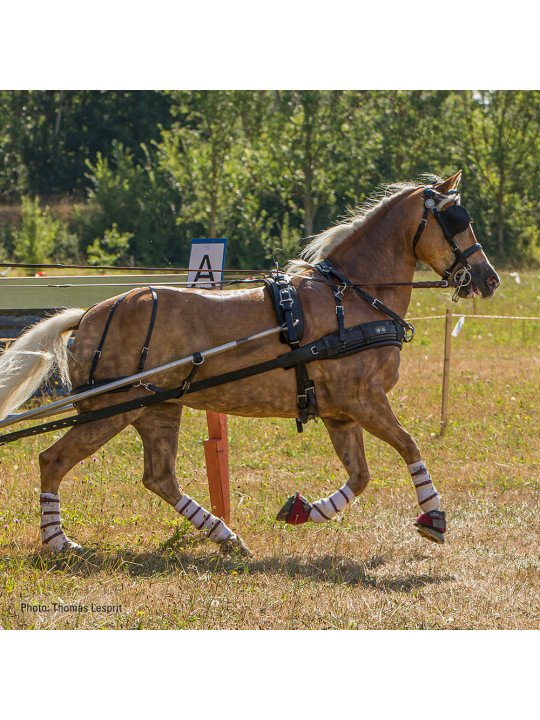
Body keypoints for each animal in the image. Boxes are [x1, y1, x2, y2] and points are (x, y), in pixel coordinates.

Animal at [0, 171, 500, 556]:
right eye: (457, 220)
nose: (489, 279)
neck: (353, 297)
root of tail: (88, 314)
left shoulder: (340, 412)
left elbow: (359, 477)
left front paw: (302, 510)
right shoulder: (364, 400)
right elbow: (410, 446)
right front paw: (434, 518)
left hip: (157, 409)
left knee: (159, 478)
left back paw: (226, 536)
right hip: (112, 409)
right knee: (52, 460)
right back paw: (59, 542)